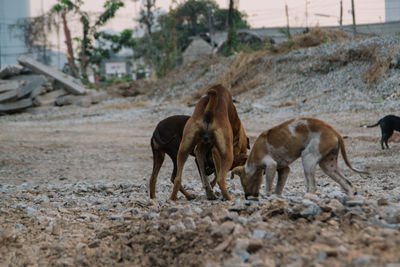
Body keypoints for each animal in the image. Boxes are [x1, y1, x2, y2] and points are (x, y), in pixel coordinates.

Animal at [231, 118, 368, 200]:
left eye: (243, 183)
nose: (247, 196)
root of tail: (334, 132)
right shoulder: (284, 169)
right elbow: (279, 187)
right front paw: (277, 197)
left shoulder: (271, 165)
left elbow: (269, 185)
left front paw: (267, 196)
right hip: (328, 166)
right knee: (347, 183)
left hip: (307, 159)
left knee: (312, 185)